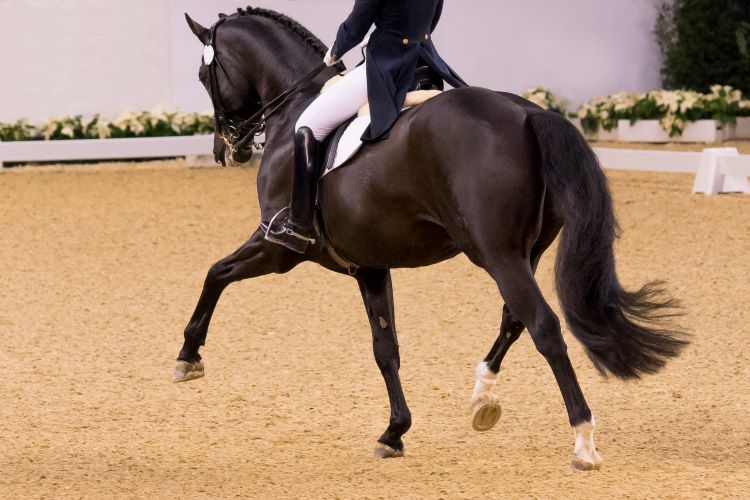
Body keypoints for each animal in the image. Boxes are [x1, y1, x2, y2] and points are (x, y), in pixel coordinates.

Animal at [174, 6, 687, 470]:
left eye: (202, 74)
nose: (227, 150)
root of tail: (528, 114)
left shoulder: (278, 246)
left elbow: (216, 272)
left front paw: (188, 357)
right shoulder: (369, 265)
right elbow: (386, 350)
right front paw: (394, 432)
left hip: (497, 254)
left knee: (543, 326)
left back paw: (583, 442)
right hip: (524, 251)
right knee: (514, 319)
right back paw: (483, 398)